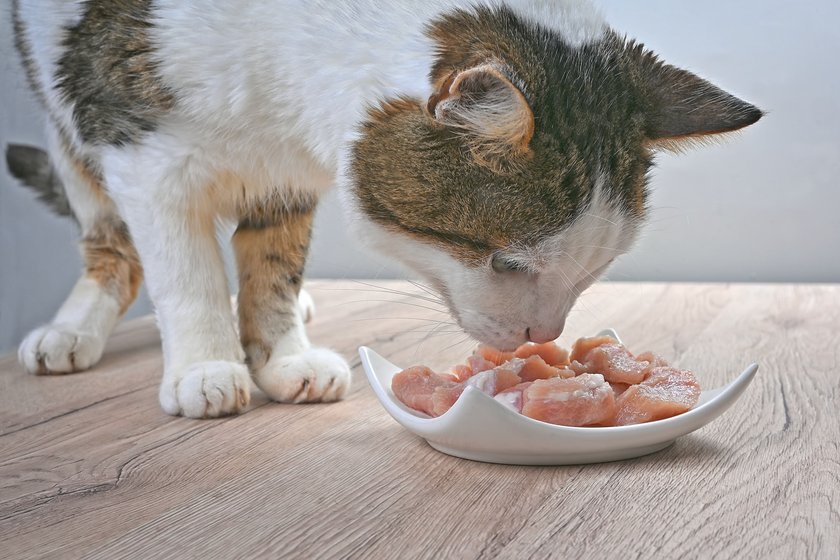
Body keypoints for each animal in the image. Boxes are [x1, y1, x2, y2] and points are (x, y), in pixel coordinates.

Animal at [4, 0, 760, 416]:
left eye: (595, 268)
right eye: (505, 261)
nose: (539, 336)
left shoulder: (285, 172)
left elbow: (274, 266)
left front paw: (282, 356)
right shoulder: (139, 148)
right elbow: (184, 271)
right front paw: (207, 368)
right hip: (65, 116)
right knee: (111, 241)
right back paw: (73, 329)